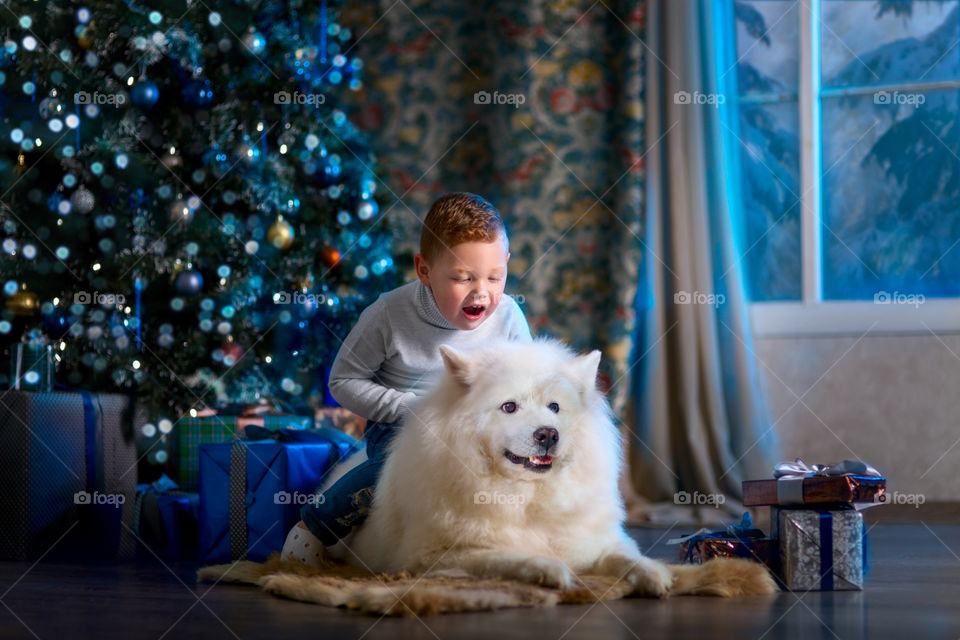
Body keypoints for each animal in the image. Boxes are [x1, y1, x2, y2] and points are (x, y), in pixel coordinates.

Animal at [348, 338, 776, 596]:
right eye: (509, 407)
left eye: (554, 407)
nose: (548, 434)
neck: (527, 497)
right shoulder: (435, 556)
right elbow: (505, 556)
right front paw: (550, 571)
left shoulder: (596, 538)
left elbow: (624, 555)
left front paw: (655, 573)